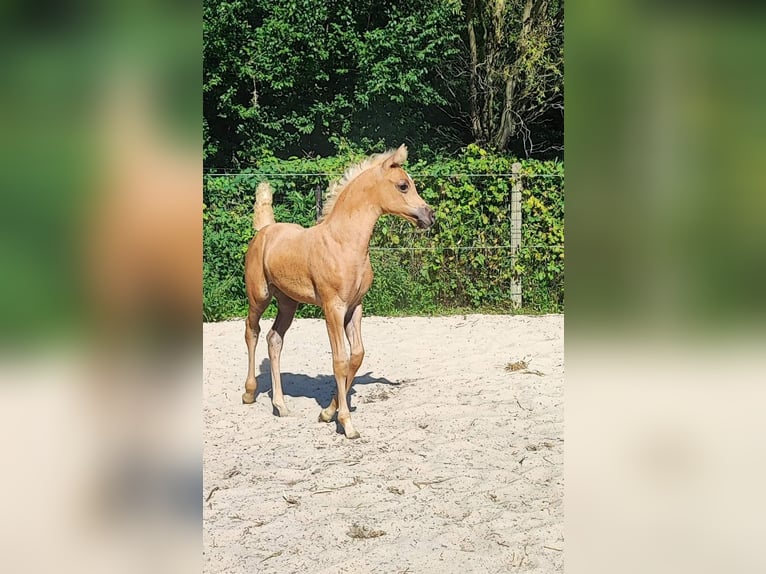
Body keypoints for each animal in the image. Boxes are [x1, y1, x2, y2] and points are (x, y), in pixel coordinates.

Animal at [243, 146, 436, 438]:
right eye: (403, 185)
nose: (429, 215)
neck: (344, 243)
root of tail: (265, 230)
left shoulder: (355, 307)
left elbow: (357, 356)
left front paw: (326, 412)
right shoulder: (333, 308)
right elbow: (340, 361)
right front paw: (346, 423)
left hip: (288, 303)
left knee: (274, 339)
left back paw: (281, 405)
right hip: (259, 296)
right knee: (251, 331)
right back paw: (249, 393)